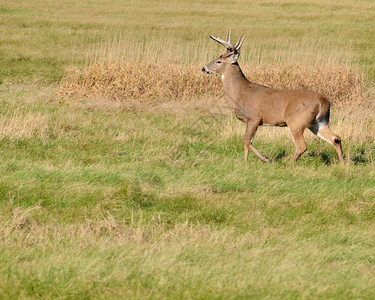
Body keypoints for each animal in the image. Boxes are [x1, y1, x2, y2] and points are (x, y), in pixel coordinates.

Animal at [203, 29, 344, 163]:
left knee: (302, 146)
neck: (240, 93)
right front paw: (246, 161)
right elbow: (249, 141)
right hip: (319, 122)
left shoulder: (254, 117)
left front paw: (264, 159)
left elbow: (246, 140)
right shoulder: (253, 121)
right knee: (336, 138)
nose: (204, 68)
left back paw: (288, 163)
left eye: (219, 61)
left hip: (297, 122)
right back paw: (343, 163)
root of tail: (324, 102)